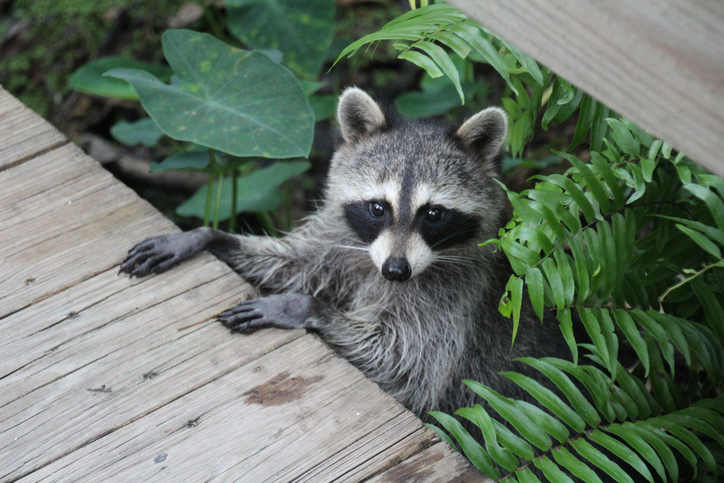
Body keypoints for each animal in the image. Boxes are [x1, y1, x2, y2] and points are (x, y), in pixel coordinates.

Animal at [119, 88, 570, 423]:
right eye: (378, 207)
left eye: (434, 214)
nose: (396, 271)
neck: (379, 261)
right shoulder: (343, 240)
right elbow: (297, 264)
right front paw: (208, 236)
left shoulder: (455, 298)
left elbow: (405, 364)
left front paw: (303, 306)